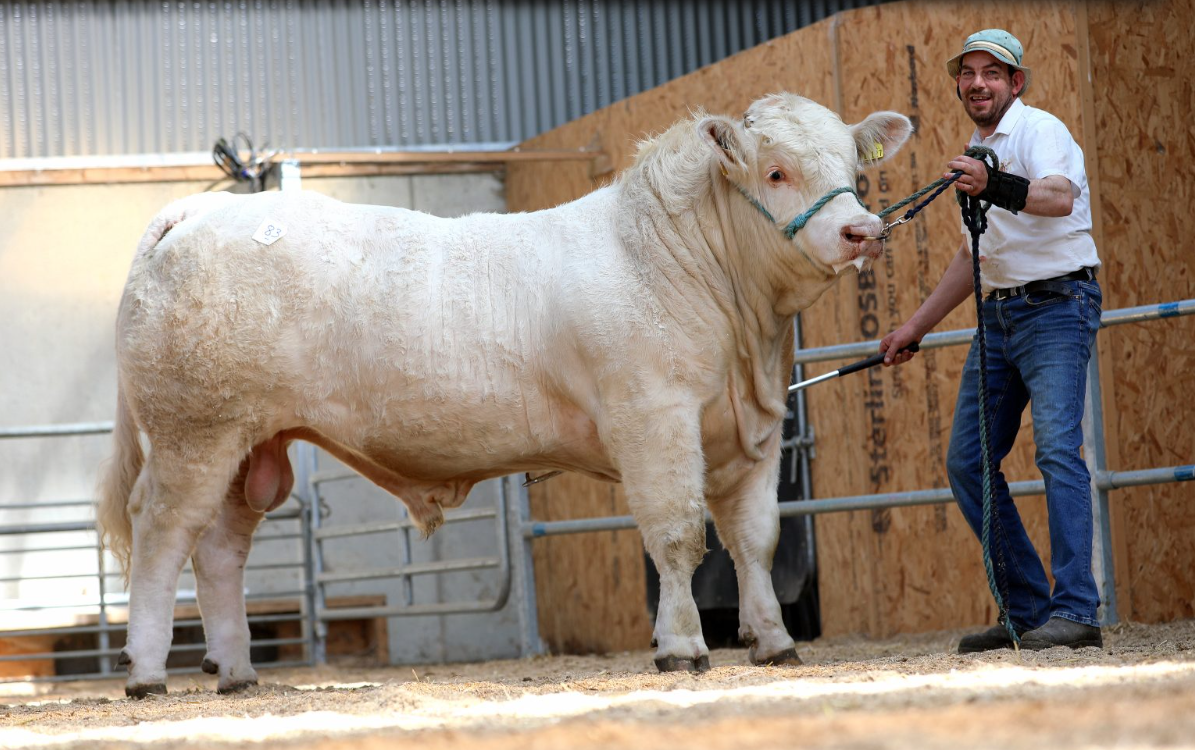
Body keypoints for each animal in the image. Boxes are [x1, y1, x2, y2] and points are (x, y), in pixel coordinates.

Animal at [98, 92, 911, 697]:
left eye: (853, 165)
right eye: (775, 172)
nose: (861, 230)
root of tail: (198, 213)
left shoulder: (755, 432)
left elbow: (756, 538)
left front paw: (773, 640)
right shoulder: (653, 416)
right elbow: (679, 534)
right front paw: (681, 646)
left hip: (249, 445)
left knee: (220, 549)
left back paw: (236, 670)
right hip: (192, 434)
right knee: (162, 534)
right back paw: (146, 672)